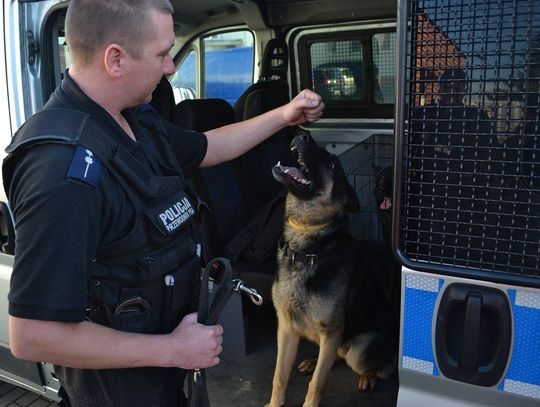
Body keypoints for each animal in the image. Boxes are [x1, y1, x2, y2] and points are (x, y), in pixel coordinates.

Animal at [266, 132, 396, 406]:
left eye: (331, 164)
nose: (303, 135)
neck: (308, 247)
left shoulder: (332, 332)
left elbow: (317, 383)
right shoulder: (286, 329)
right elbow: (279, 375)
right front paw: (274, 403)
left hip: (359, 348)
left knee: (384, 366)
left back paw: (369, 376)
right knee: (335, 356)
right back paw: (312, 361)